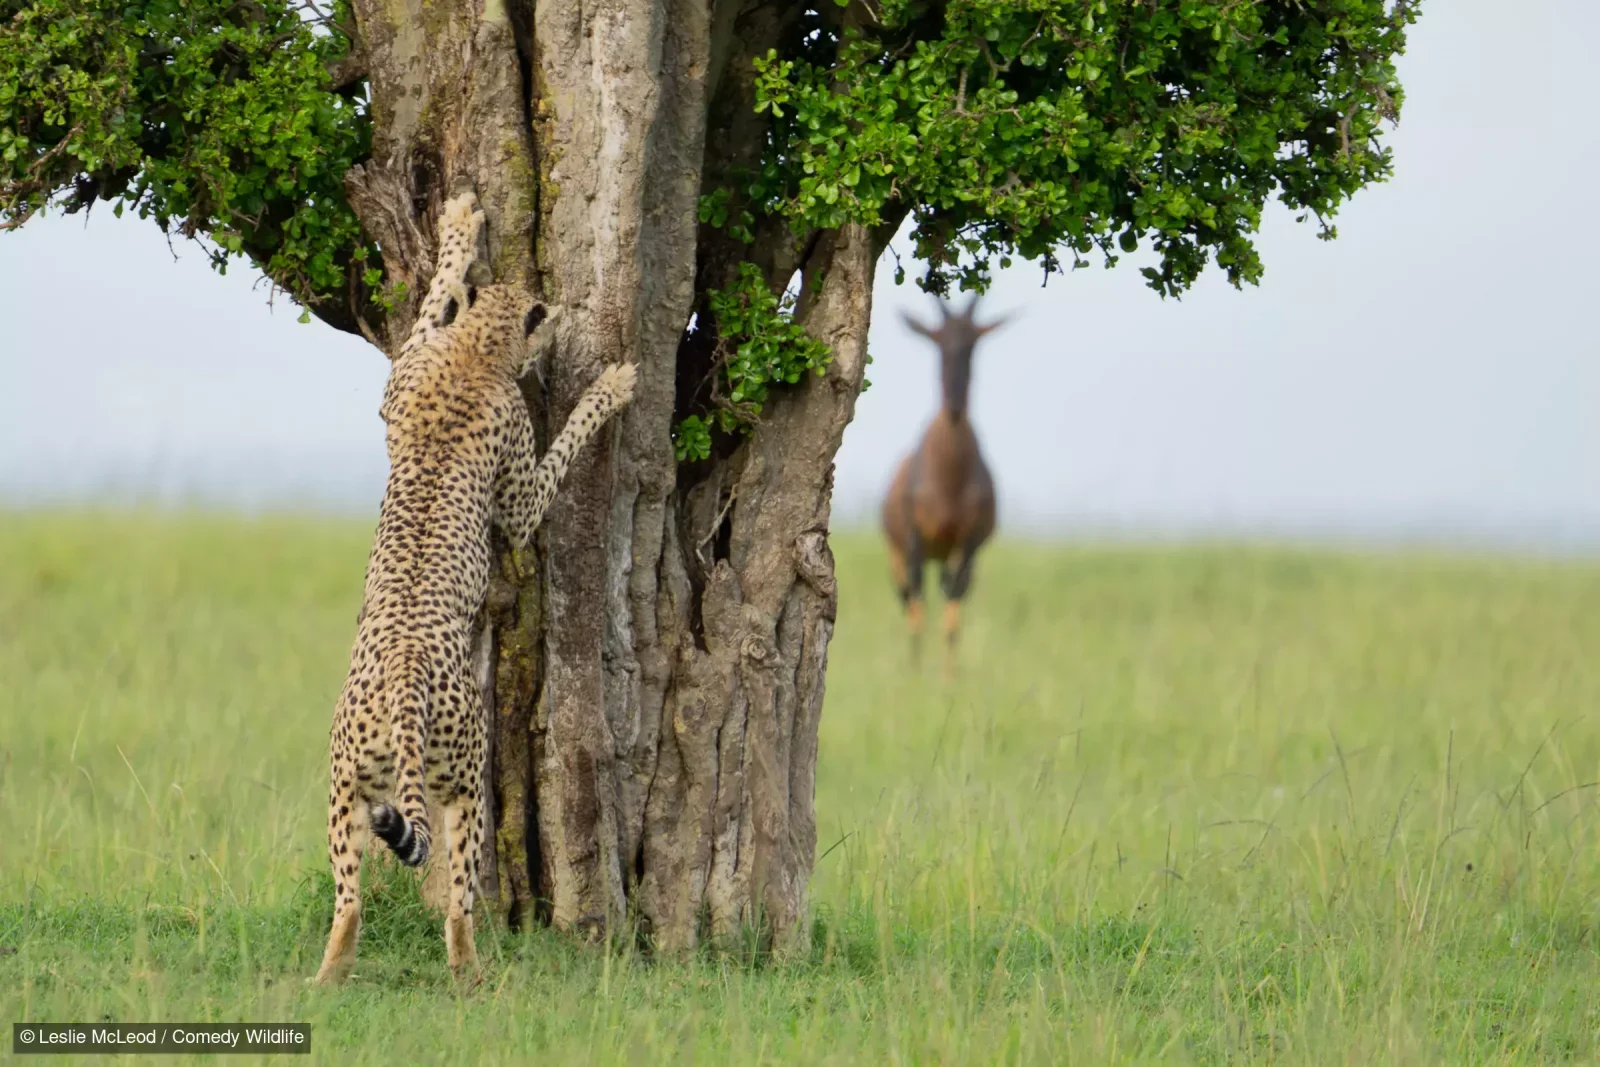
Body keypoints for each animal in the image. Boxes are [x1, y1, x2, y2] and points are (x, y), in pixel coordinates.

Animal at [312, 189, 636, 985]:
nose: (561, 321)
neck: (476, 353)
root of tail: (403, 681)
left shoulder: (399, 380)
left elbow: (433, 299)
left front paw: (458, 230)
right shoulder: (517, 498)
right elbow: (559, 452)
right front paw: (609, 388)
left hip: (345, 788)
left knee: (349, 898)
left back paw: (328, 973)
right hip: (463, 781)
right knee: (459, 896)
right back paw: (471, 974)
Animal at [883, 294, 1004, 675]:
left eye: (974, 342)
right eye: (936, 339)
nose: (954, 406)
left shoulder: (968, 544)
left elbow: (952, 615)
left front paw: (947, 681)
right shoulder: (914, 542)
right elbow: (918, 610)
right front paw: (916, 675)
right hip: (899, 554)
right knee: (908, 598)